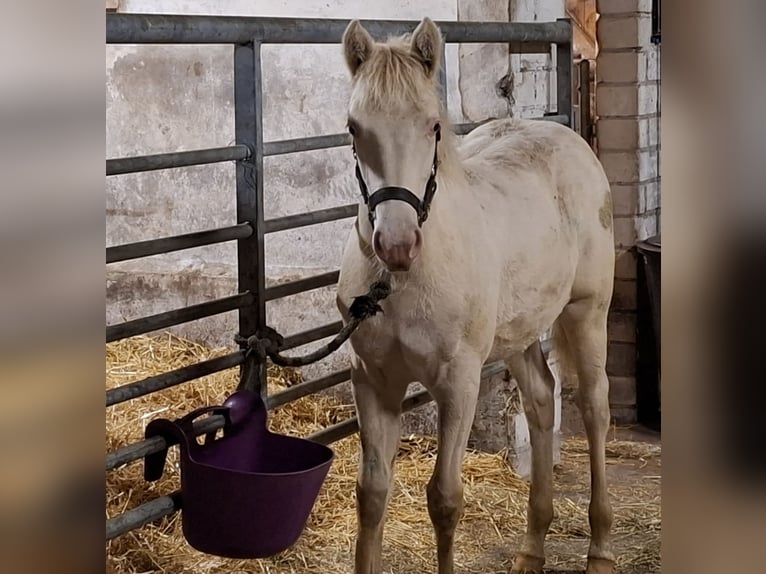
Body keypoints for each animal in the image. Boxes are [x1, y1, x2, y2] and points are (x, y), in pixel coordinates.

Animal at [336, 17, 616, 574]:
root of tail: (565, 135)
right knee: (541, 398)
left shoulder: (458, 382)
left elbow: (445, 499)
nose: (396, 244)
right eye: (355, 128)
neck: (403, 283)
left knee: (595, 404)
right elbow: (371, 493)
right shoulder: (373, 380)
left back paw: (599, 550)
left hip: (587, 312)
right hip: (520, 331)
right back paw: (531, 548)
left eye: (432, 126)